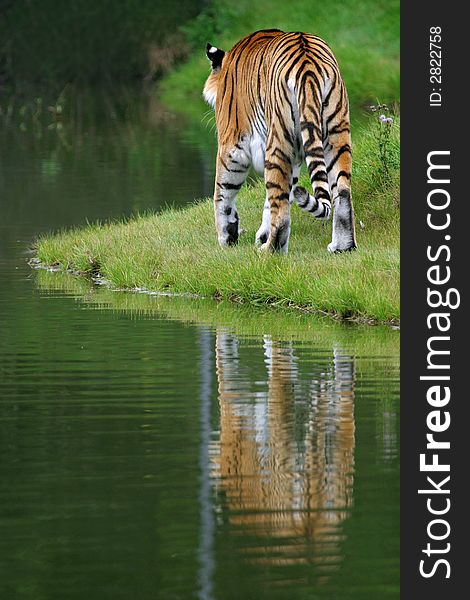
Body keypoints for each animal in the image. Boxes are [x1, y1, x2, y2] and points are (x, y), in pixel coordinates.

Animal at [203, 29, 356, 254]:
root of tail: (307, 65)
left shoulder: (231, 146)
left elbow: (222, 194)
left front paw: (227, 237)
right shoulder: (295, 157)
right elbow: (276, 198)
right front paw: (260, 234)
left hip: (277, 143)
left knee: (282, 210)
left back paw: (269, 251)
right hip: (337, 134)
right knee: (342, 190)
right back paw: (342, 247)